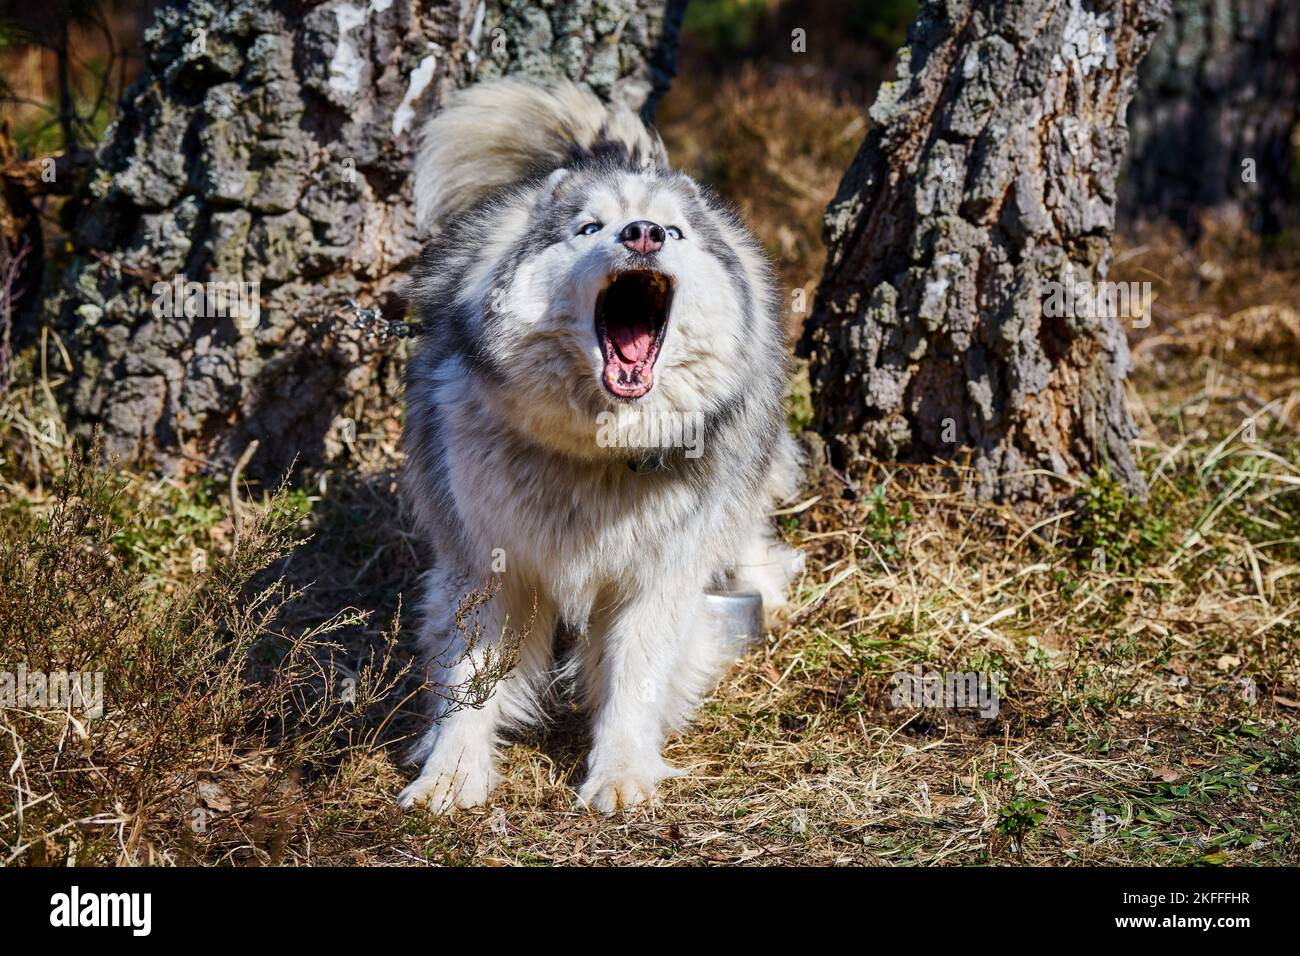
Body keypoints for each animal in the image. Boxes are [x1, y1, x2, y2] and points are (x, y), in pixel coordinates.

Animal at [397, 80, 800, 816]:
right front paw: (451, 775)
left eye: (673, 231)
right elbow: (468, 684)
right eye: (589, 229)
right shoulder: (486, 566)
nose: (642, 233)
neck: (594, 454)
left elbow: (634, 682)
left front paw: (621, 774)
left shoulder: (657, 575)